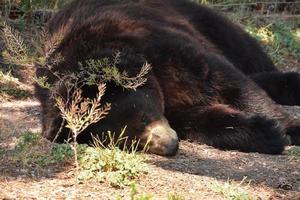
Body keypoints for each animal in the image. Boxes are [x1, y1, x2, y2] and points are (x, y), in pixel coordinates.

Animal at [35, 0, 300, 156]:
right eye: (124, 141)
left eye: (144, 116)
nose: (170, 146)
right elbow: (199, 119)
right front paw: (266, 133)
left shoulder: (160, 47)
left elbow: (226, 82)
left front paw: (286, 128)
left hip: (195, 17)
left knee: (245, 51)